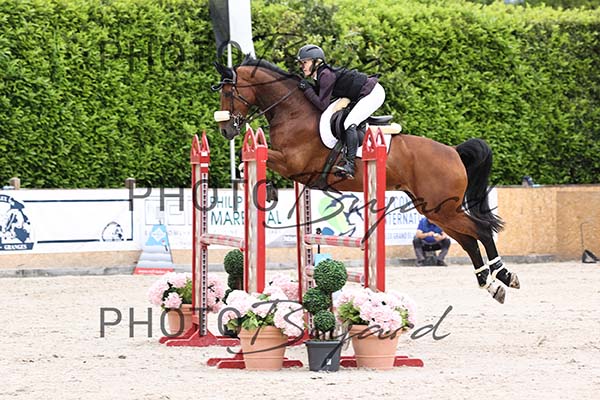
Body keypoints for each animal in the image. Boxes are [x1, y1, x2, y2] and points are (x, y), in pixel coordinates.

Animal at [212, 57, 520, 303]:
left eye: (228, 92)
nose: (226, 130)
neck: (293, 111)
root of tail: (454, 151)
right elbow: (245, 167)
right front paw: (266, 191)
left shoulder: (293, 163)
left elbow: (262, 162)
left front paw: (270, 191)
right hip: (436, 210)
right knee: (468, 240)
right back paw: (489, 284)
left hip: (442, 208)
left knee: (481, 230)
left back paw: (505, 275)